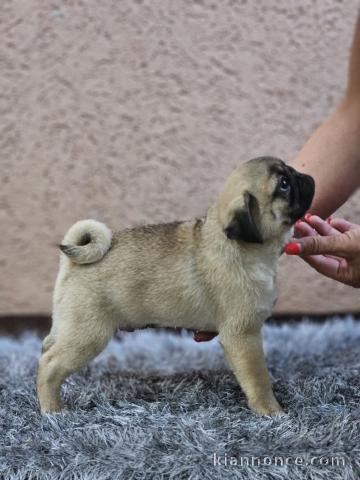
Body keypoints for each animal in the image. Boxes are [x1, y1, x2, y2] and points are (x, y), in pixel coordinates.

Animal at [35, 158, 312, 416]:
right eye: (284, 185)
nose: (306, 176)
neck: (235, 243)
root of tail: (73, 261)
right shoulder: (243, 335)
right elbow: (258, 378)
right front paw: (270, 411)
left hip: (68, 326)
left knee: (47, 348)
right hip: (88, 334)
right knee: (49, 365)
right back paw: (52, 410)